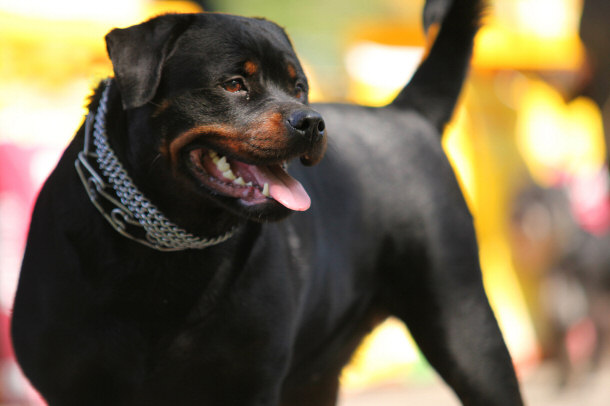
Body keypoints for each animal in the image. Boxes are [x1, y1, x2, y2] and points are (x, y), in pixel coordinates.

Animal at [10, 1, 524, 404]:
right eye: (235, 83)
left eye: (299, 87)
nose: (312, 122)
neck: (167, 252)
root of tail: (405, 112)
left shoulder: (248, 384)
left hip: (465, 326)